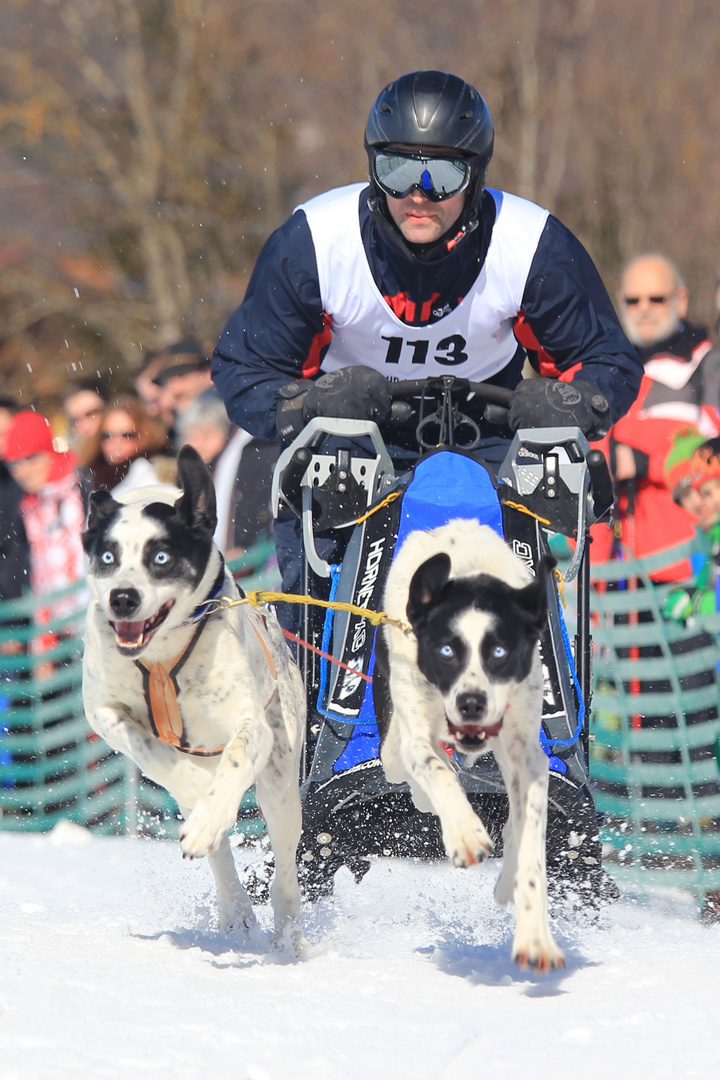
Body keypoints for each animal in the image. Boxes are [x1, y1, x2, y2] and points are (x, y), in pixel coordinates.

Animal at [82, 444, 306, 946]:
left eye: (161, 557)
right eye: (107, 556)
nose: (122, 598)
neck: (162, 656)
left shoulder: (252, 725)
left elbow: (238, 758)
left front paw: (212, 810)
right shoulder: (104, 711)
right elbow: (152, 751)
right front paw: (197, 795)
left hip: (282, 780)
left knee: (285, 864)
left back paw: (289, 935)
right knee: (220, 854)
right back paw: (234, 904)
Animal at [375, 518, 565, 976]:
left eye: (500, 651)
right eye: (446, 650)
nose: (471, 702)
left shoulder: (528, 754)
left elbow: (529, 838)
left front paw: (534, 934)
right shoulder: (416, 731)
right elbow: (436, 770)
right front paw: (464, 832)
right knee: (408, 768)